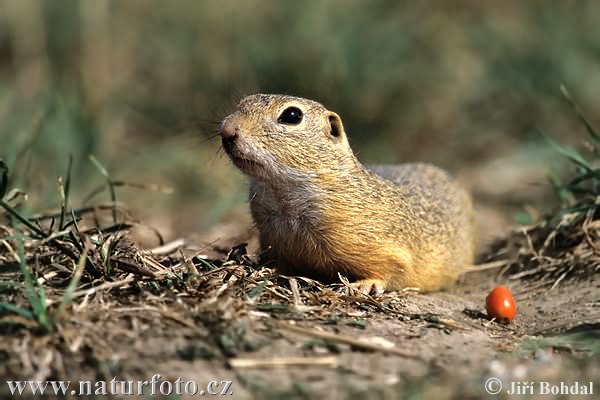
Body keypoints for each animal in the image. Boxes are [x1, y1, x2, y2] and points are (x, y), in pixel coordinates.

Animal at [219, 94, 474, 294]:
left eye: (292, 115)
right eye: (242, 102)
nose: (226, 129)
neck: (282, 196)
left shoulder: (390, 248)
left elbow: (392, 269)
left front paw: (364, 285)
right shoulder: (271, 237)